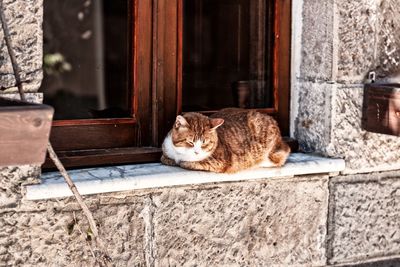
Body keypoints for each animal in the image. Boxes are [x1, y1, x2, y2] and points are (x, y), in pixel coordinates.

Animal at [161, 108, 290, 174]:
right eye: (190, 142)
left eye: (204, 142)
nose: (196, 152)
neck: (179, 153)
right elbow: (164, 158)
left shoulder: (219, 162)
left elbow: (187, 162)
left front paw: (182, 161)